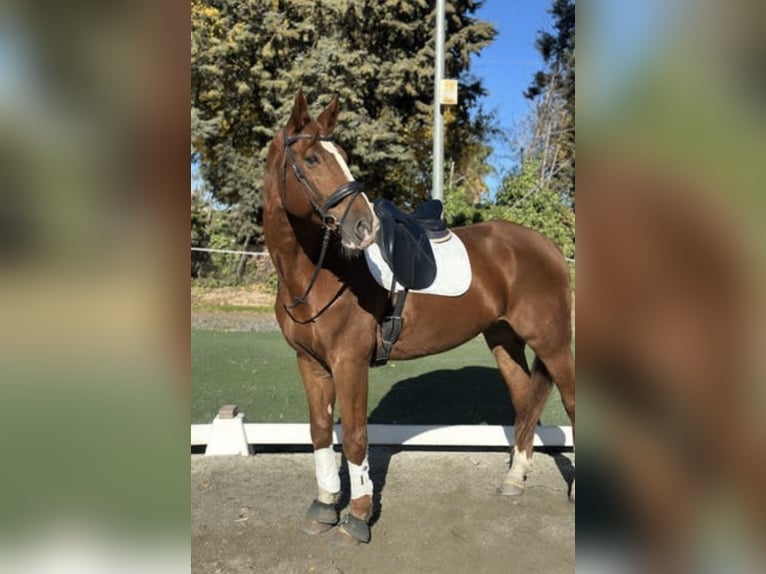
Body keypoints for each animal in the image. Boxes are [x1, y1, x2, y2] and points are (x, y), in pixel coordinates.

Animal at [262, 90, 575, 545]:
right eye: (312, 158)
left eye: (342, 155)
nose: (364, 226)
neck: (319, 272)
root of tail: (548, 247)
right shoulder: (311, 363)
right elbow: (320, 432)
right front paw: (324, 506)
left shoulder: (350, 362)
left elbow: (354, 437)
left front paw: (357, 517)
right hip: (504, 338)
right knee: (524, 404)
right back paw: (514, 480)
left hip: (552, 341)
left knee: (569, 401)